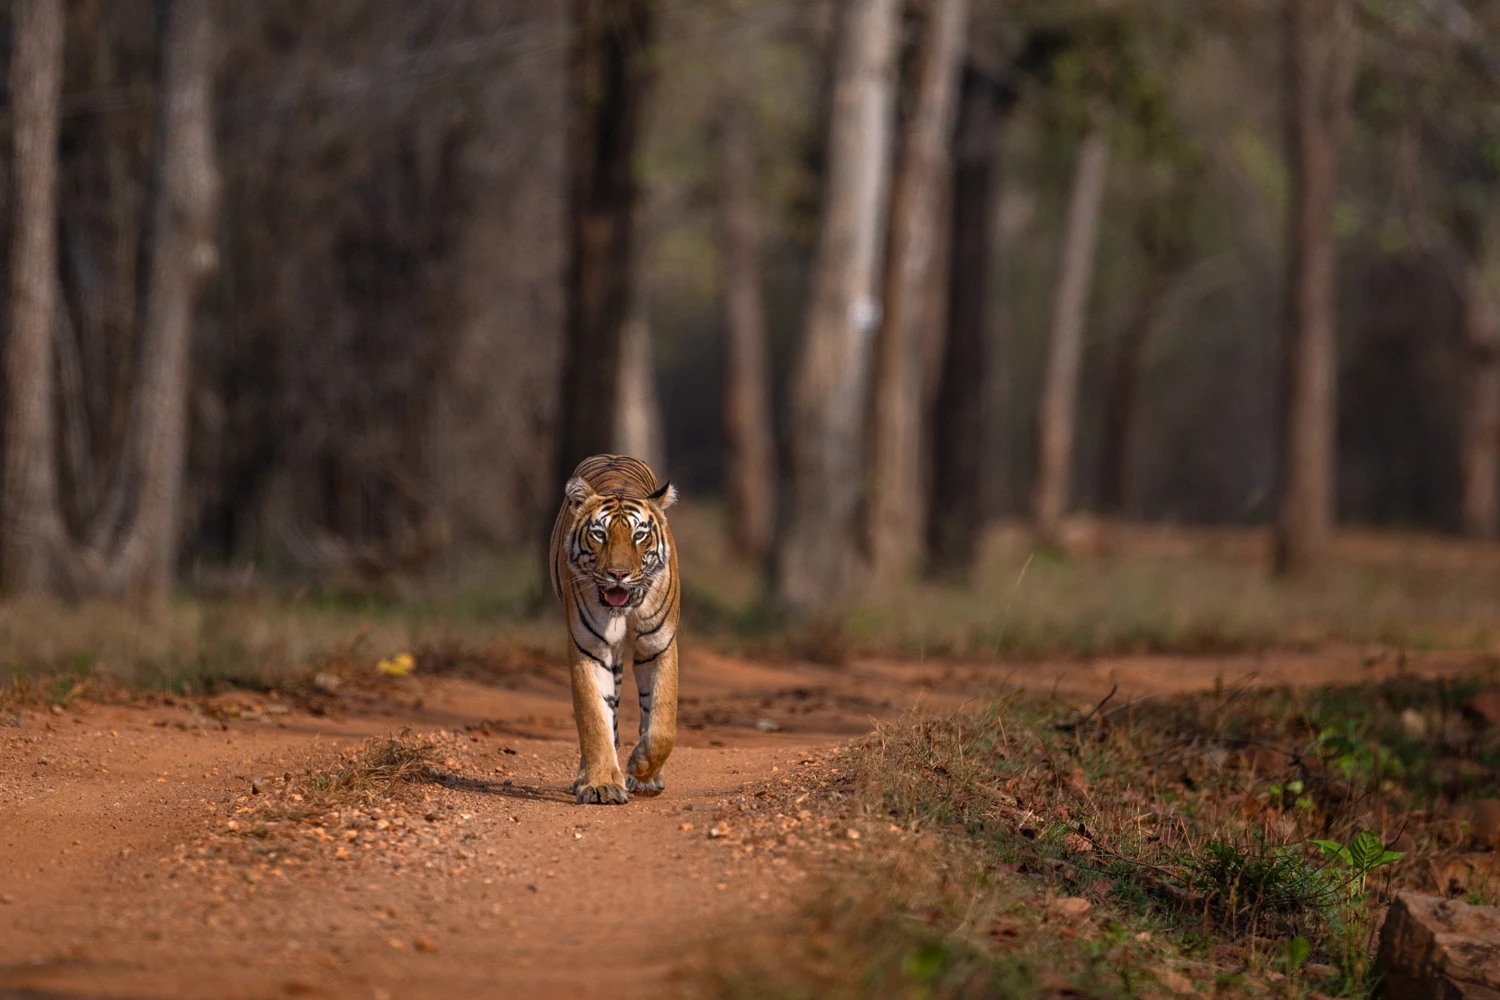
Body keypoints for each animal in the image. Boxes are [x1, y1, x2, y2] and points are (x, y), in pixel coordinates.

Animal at [549, 454, 680, 805]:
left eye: (639, 536)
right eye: (599, 535)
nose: (618, 574)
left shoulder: (659, 646)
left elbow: (662, 724)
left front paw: (642, 768)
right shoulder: (590, 649)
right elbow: (595, 719)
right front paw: (601, 785)